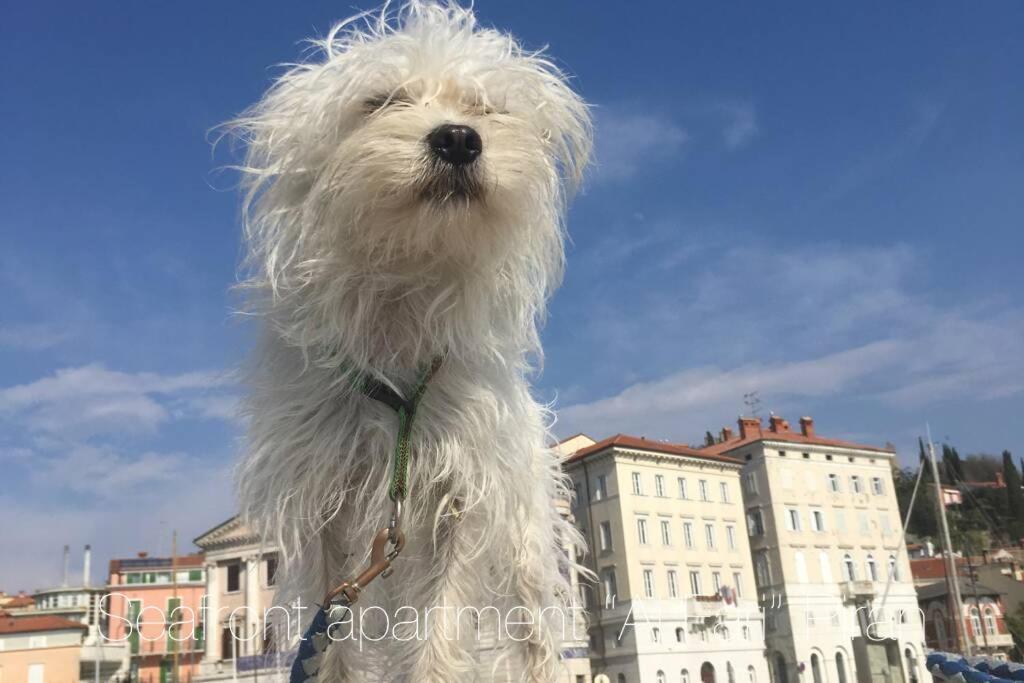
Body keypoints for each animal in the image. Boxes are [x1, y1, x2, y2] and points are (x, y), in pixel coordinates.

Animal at [228, 2, 589, 679]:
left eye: (483, 107)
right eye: (381, 101)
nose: (458, 138)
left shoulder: (463, 500)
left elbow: (441, 627)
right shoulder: (324, 511)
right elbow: (331, 637)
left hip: (525, 551)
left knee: (532, 638)